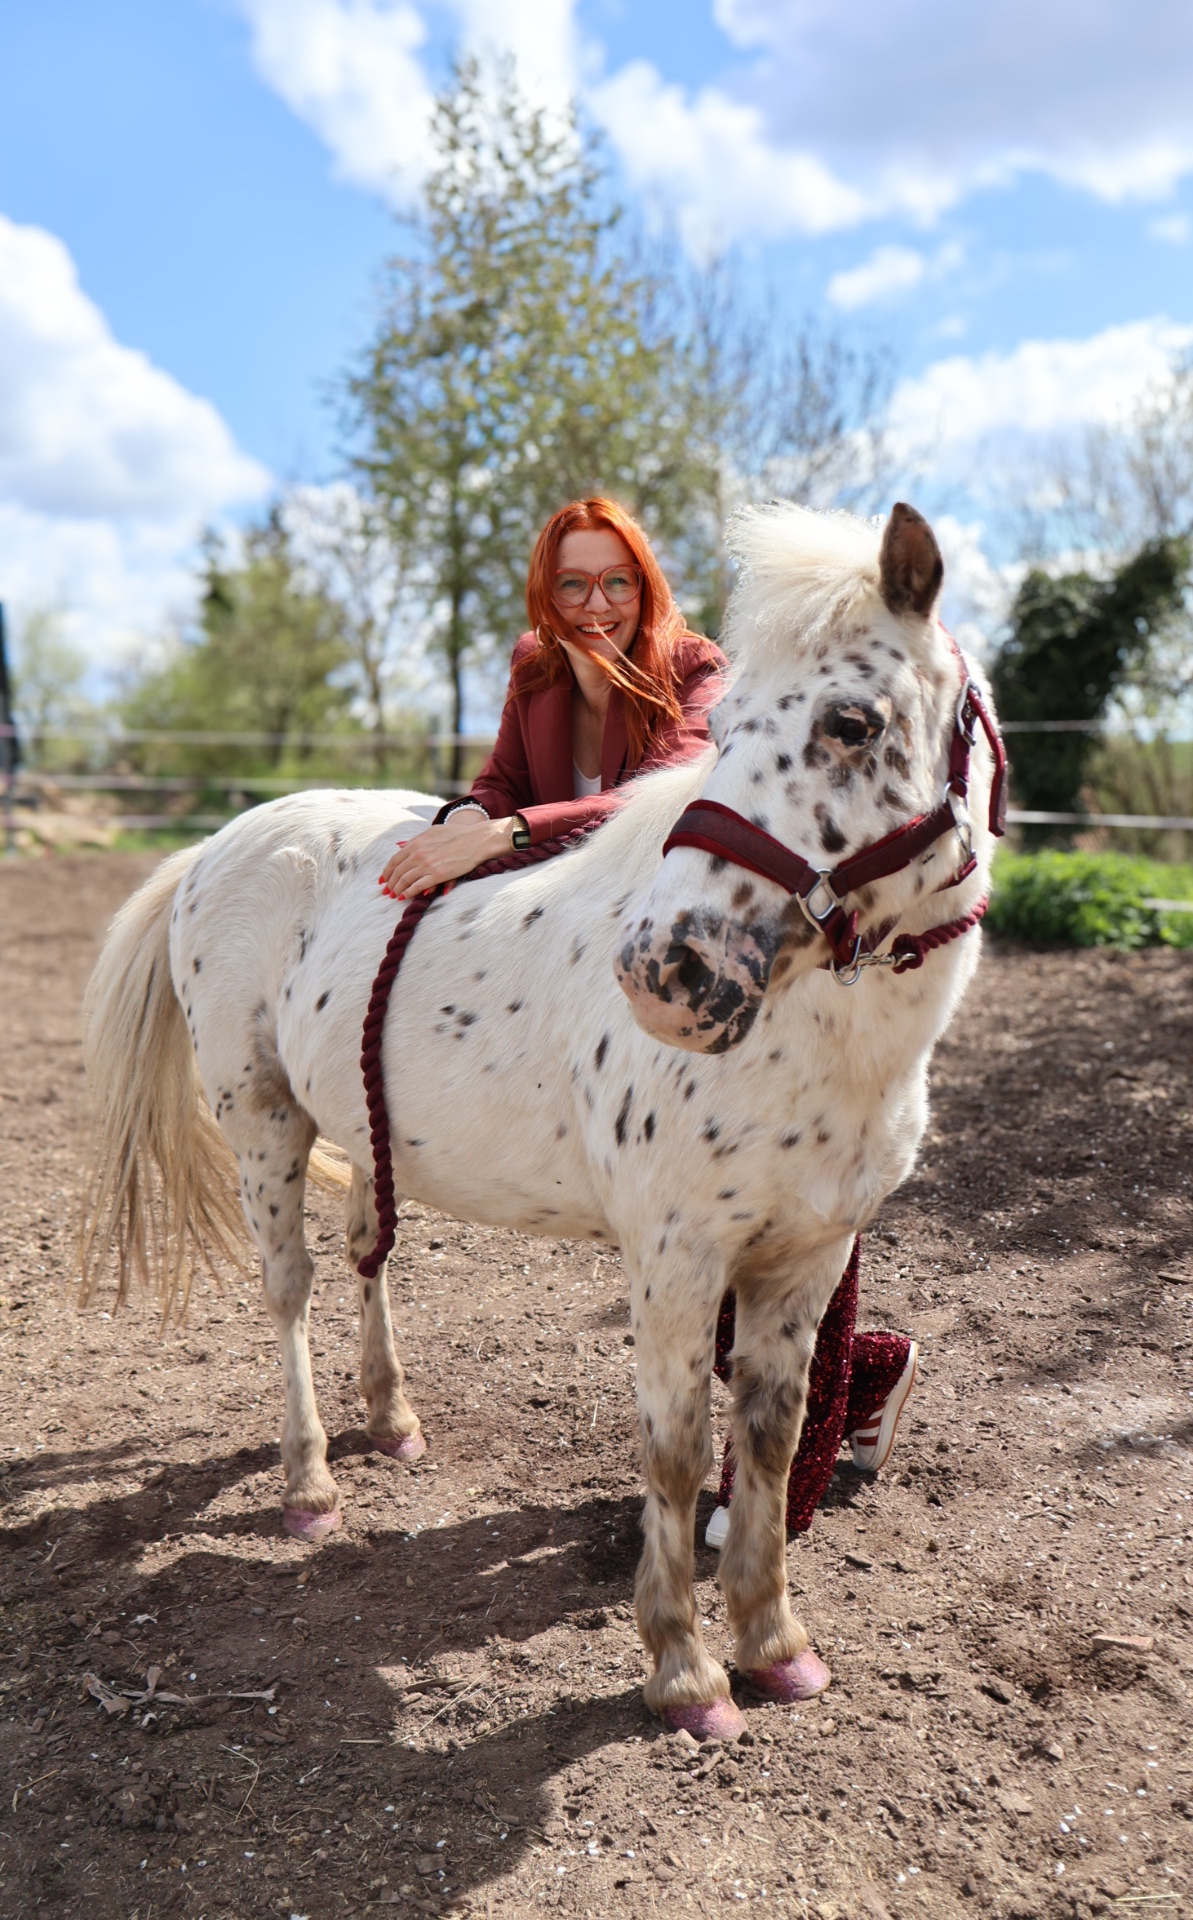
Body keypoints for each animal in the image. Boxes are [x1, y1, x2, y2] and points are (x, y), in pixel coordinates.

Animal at [81, 501, 1002, 1740]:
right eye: (722, 729)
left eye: (850, 722)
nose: (667, 971)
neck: (816, 1047)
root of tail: (220, 845)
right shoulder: (674, 1260)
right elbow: (674, 1451)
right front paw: (683, 1670)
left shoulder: (805, 1257)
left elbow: (765, 1439)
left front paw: (773, 1642)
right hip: (261, 1125)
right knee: (289, 1293)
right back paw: (310, 1482)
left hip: (363, 1133)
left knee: (368, 1255)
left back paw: (392, 1417)